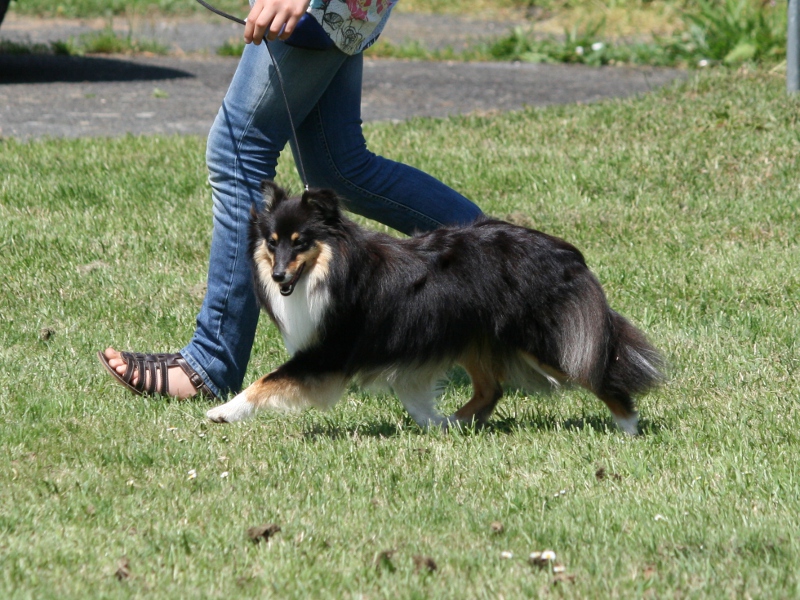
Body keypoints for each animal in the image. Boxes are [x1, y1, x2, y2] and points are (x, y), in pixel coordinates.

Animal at [206, 180, 664, 434]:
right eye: (272, 242)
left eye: (300, 241)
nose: (279, 277)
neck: (333, 266)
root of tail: (568, 253)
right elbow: (411, 393)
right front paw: (432, 424)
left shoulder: (329, 352)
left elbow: (266, 380)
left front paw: (222, 412)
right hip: (474, 335)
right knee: (490, 389)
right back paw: (457, 424)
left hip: (543, 342)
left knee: (600, 373)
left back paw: (628, 428)